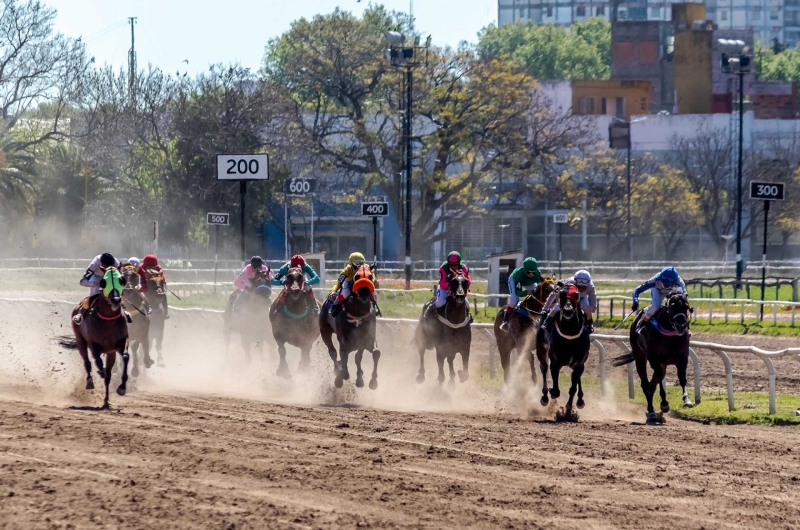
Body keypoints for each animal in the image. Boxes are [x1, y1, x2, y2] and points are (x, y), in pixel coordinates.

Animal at [59, 268, 131, 408]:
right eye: (103, 282)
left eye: (122, 280)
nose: (116, 300)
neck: (108, 320)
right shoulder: (93, 344)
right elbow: (97, 361)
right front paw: (101, 372)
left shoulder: (121, 342)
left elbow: (125, 356)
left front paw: (122, 387)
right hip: (80, 340)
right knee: (87, 362)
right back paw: (90, 381)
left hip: (111, 352)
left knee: (107, 374)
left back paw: (106, 401)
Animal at [536, 282, 592, 418]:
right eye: (561, 293)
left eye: (576, 294)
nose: (567, 310)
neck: (569, 334)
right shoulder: (555, 363)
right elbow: (556, 390)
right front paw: (551, 391)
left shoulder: (578, 363)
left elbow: (573, 388)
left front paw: (568, 411)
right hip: (541, 349)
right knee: (543, 367)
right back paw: (545, 396)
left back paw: (580, 400)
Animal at [612, 286, 692, 422]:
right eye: (672, 306)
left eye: (686, 306)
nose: (681, 326)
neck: (670, 335)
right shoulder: (654, 359)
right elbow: (660, 382)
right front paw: (664, 404)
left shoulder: (682, 358)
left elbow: (682, 379)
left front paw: (687, 400)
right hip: (640, 356)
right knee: (645, 384)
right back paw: (651, 412)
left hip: (663, 364)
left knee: (651, 385)